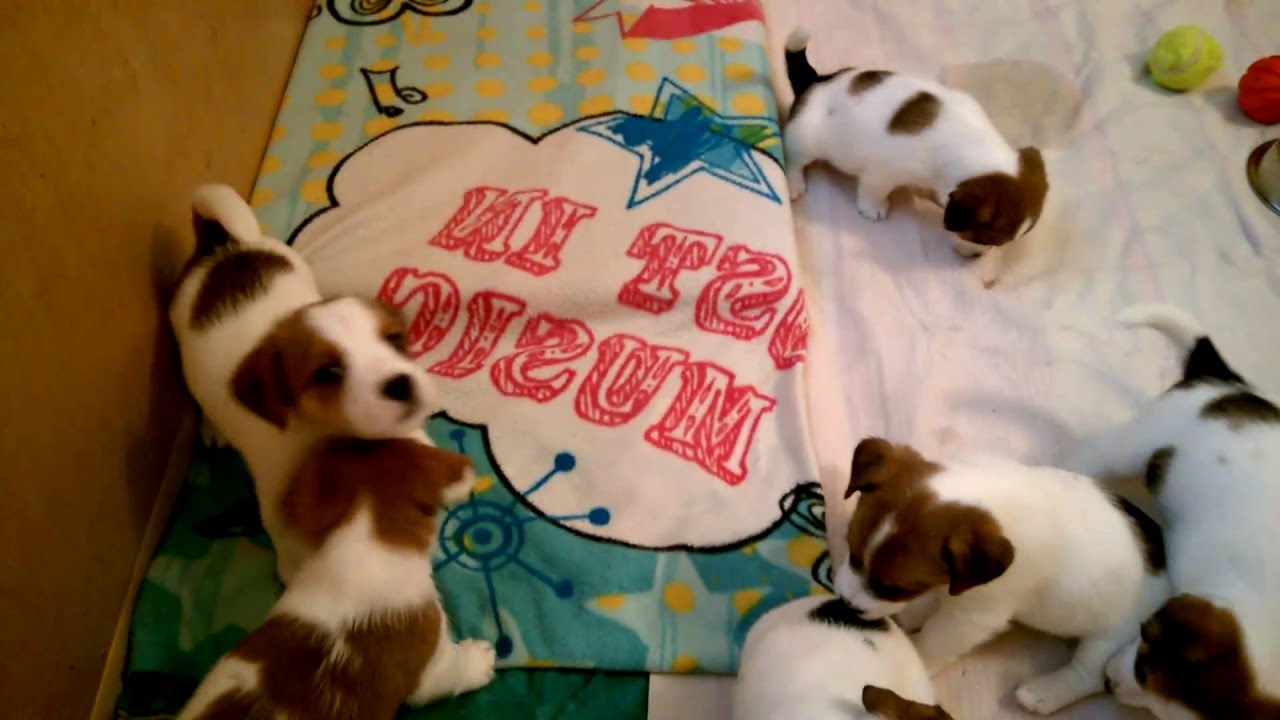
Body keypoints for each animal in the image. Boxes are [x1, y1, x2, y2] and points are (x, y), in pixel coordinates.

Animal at [169, 184, 433, 584]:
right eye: (328, 373)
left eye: (394, 340)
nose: (401, 383)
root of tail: (223, 246)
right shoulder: (279, 500)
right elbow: (291, 543)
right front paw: (294, 573)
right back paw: (213, 426)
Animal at [782, 29, 1048, 282]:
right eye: (983, 240)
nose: (977, 257)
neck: (974, 143)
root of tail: (816, 81)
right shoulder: (884, 172)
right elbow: (873, 190)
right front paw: (873, 207)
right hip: (805, 140)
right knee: (794, 159)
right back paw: (794, 184)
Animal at [832, 438, 1169, 714]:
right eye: (852, 553)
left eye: (894, 587)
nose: (846, 605)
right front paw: (916, 613)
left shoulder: (974, 615)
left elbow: (934, 639)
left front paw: (916, 656)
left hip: (1115, 636)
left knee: (1090, 673)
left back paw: (1045, 693)